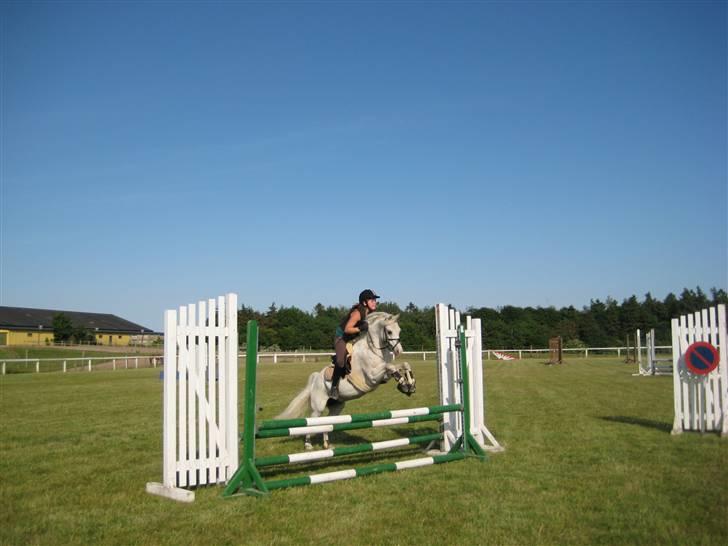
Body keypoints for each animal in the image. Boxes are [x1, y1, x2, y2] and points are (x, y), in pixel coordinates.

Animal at [278, 312, 418, 448]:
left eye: (399, 330)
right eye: (389, 332)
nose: (399, 351)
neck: (372, 349)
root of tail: (315, 379)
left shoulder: (383, 376)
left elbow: (403, 365)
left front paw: (409, 385)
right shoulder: (373, 376)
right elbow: (390, 366)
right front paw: (404, 384)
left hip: (337, 406)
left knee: (327, 422)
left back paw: (327, 444)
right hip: (318, 407)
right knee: (312, 422)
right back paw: (308, 444)